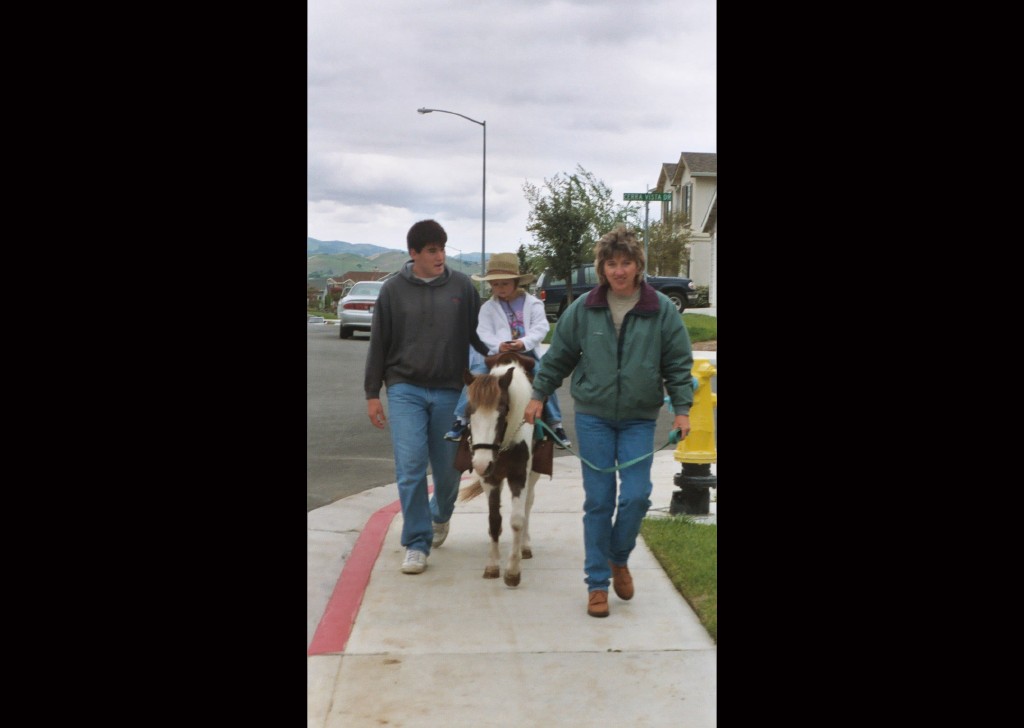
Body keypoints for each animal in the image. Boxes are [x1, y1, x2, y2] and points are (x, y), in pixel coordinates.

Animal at [458, 352, 544, 585]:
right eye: (468, 411)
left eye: (503, 410)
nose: (481, 463)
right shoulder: (490, 478)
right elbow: (494, 520)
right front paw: (492, 565)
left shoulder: (519, 475)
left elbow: (517, 520)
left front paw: (513, 571)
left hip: (533, 475)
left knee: (528, 504)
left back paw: (525, 546)